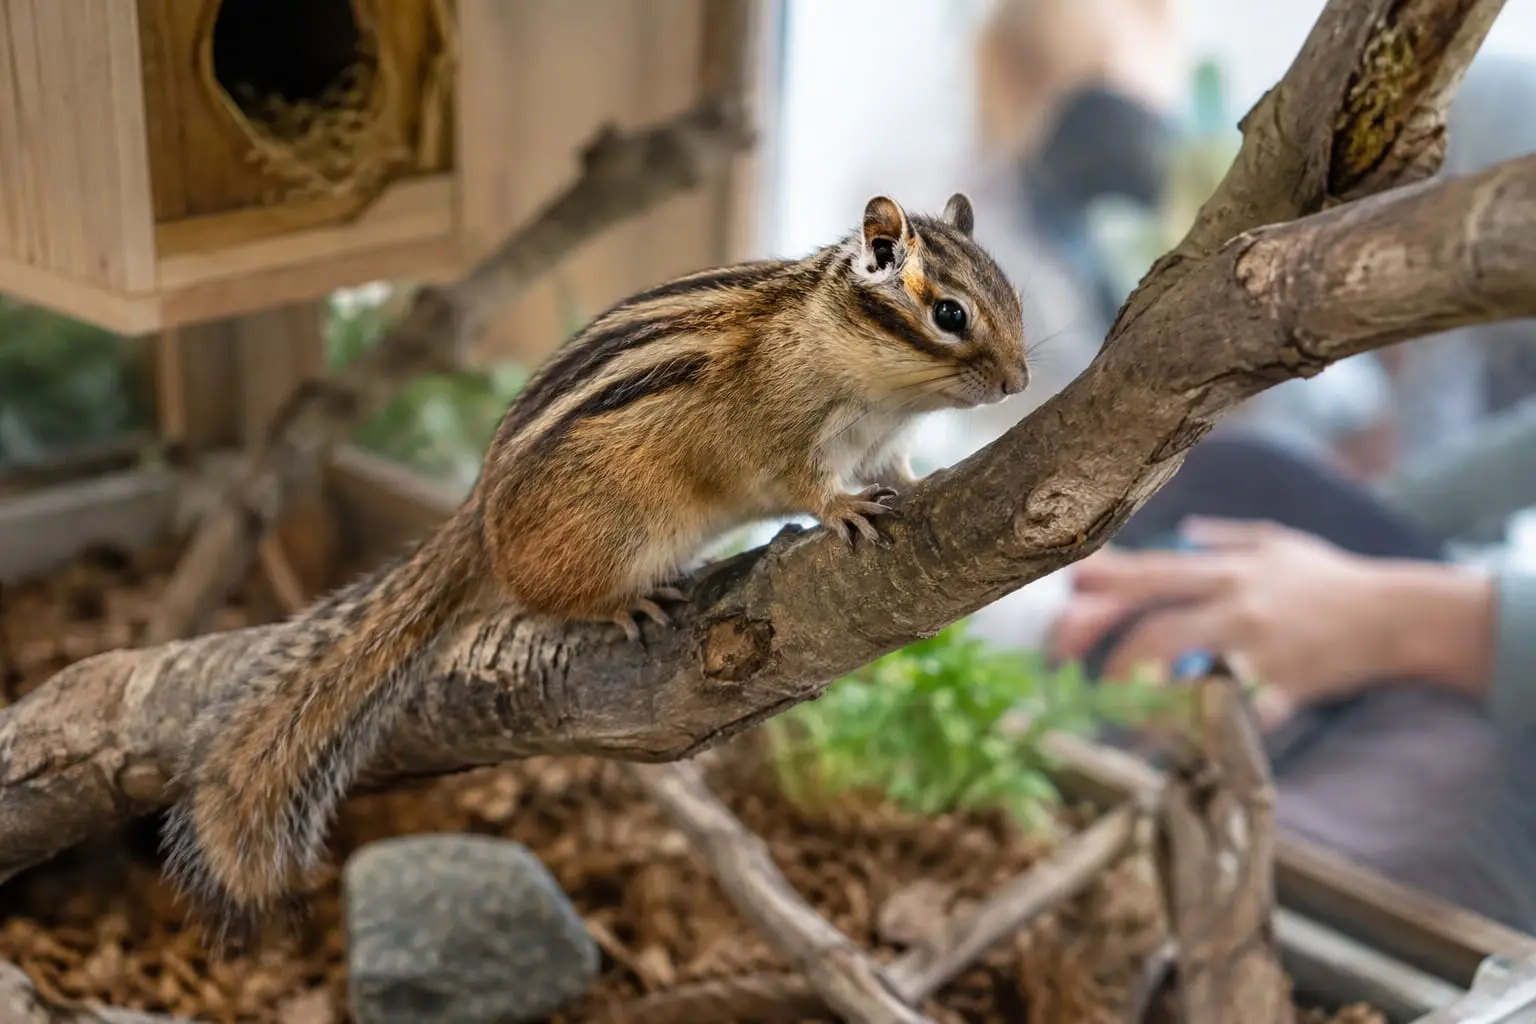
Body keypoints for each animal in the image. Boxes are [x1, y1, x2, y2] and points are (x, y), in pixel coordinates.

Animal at [160, 192, 1030, 942]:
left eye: (1013, 297)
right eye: (949, 314)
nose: (1019, 381)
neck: (850, 357)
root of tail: (480, 514)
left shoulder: (879, 442)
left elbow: (898, 469)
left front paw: (917, 483)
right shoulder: (786, 437)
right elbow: (807, 486)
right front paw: (844, 510)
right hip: (612, 535)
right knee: (544, 597)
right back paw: (623, 605)